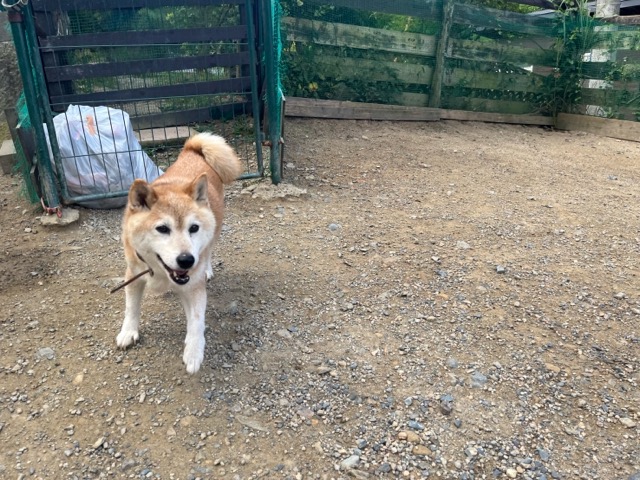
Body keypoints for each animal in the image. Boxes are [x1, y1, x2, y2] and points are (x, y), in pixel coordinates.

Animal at [116, 133, 242, 373]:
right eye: (162, 229)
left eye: (193, 228)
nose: (186, 260)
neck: (161, 273)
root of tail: (192, 150)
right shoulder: (133, 274)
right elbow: (131, 308)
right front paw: (128, 332)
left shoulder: (193, 287)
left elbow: (196, 321)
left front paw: (193, 352)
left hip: (214, 230)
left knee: (208, 251)